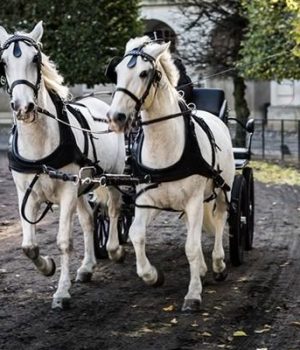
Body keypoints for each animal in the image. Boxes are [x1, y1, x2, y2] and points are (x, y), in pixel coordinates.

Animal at [0, 21, 125, 308]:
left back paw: (114, 249)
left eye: (35, 59)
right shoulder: (26, 193)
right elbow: (28, 246)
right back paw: (87, 267)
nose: (23, 107)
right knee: (89, 220)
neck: (40, 144)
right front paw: (47, 266)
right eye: (3, 62)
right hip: (82, 187)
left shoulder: (67, 191)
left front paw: (61, 292)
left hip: (113, 176)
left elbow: (64, 241)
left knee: (114, 209)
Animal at [106, 37, 236, 314]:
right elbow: (136, 234)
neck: (164, 145)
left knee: (221, 219)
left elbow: (191, 247)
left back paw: (218, 264)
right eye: (117, 72)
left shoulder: (195, 201)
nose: (116, 117)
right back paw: (203, 268)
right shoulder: (147, 201)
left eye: (144, 73)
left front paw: (193, 294)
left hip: (223, 188)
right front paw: (152, 276)